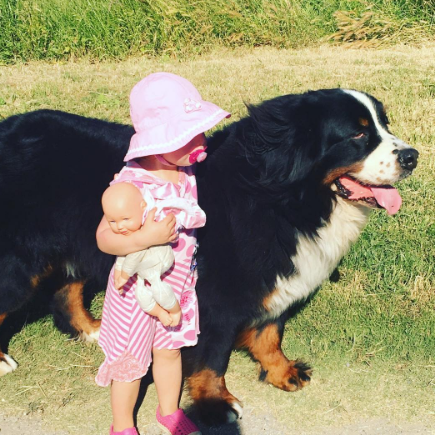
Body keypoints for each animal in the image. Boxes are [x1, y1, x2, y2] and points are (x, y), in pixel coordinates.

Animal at [0, 88, 418, 426]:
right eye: (358, 134)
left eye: (384, 124)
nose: (413, 156)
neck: (281, 197)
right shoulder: (215, 296)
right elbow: (211, 358)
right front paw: (217, 405)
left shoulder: (271, 276)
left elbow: (270, 331)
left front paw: (281, 371)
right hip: (20, 262)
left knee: (66, 290)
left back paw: (91, 330)